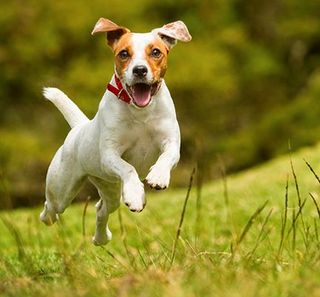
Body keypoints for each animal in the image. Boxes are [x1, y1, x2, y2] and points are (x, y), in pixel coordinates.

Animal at [39, 17, 191, 245]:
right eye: (124, 54)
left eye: (156, 52)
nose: (139, 70)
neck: (140, 112)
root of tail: (79, 128)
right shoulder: (109, 155)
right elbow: (128, 168)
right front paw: (136, 193)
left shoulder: (171, 142)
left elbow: (167, 156)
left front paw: (158, 177)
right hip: (62, 188)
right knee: (51, 207)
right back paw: (49, 218)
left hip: (109, 188)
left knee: (101, 209)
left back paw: (101, 238)